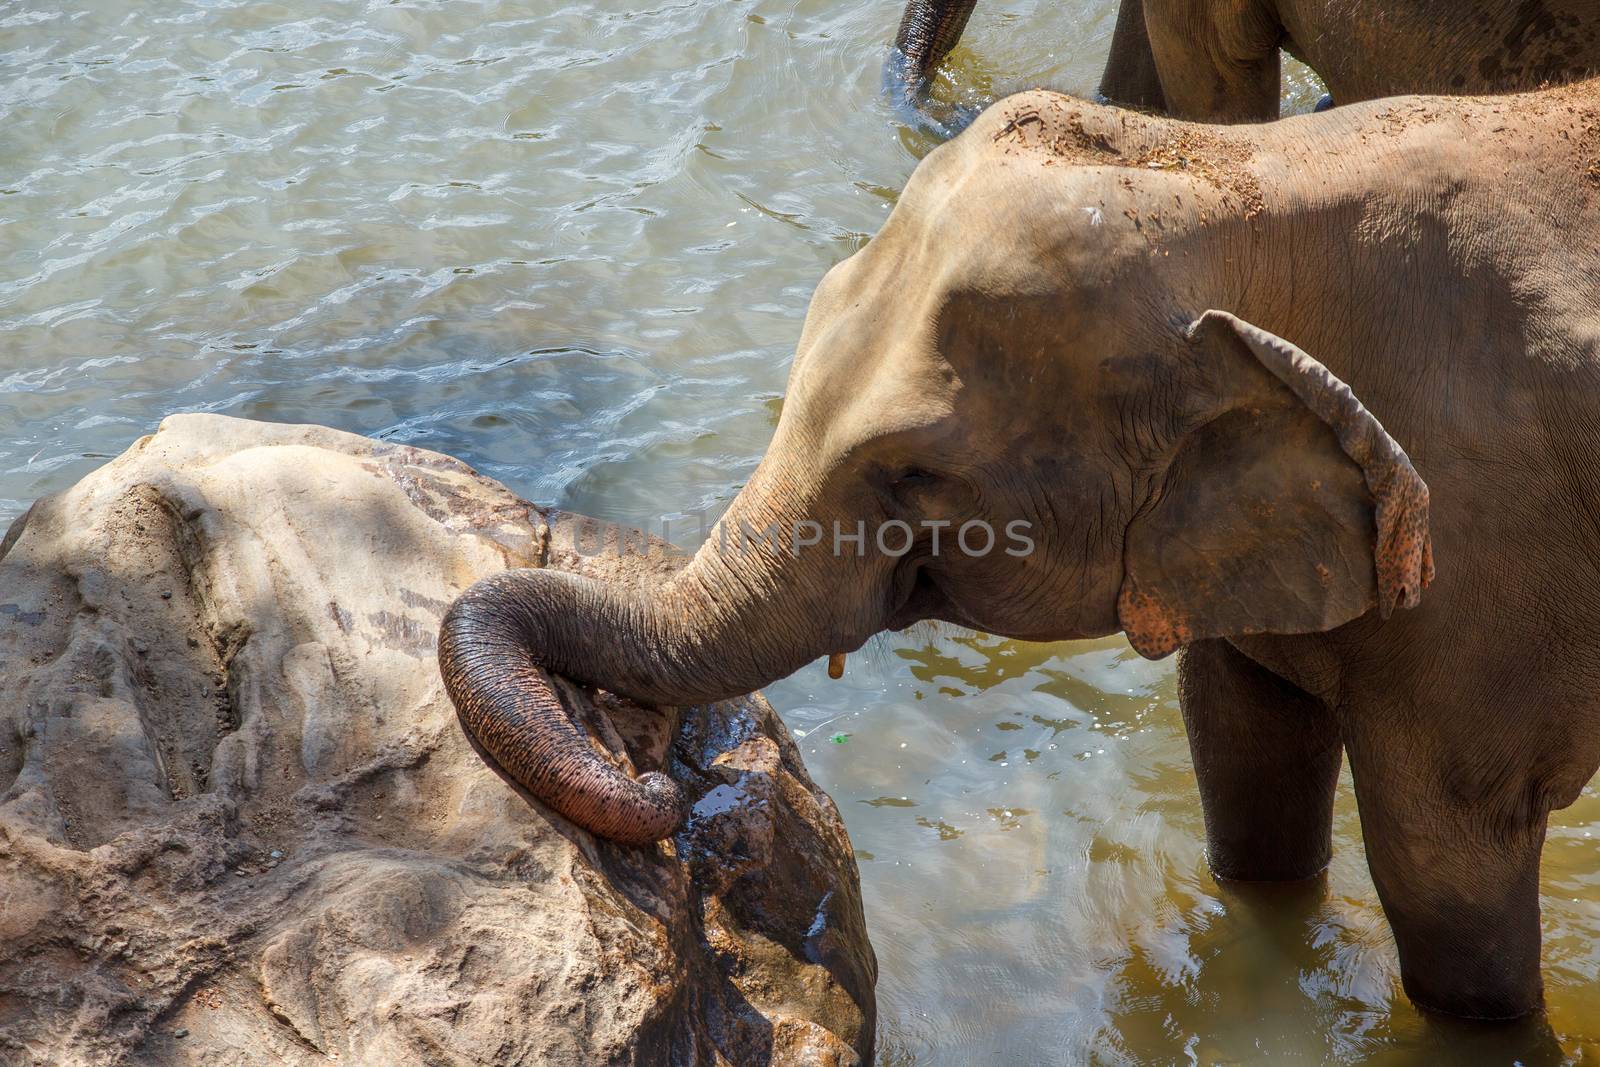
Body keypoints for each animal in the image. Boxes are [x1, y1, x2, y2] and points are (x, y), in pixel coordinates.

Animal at [441, 79, 1600, 1023]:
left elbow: (1443, 866)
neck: (1251, 174)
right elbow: (1241, 750)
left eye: (913, 474)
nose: (657, 782)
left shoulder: (1484, 573)